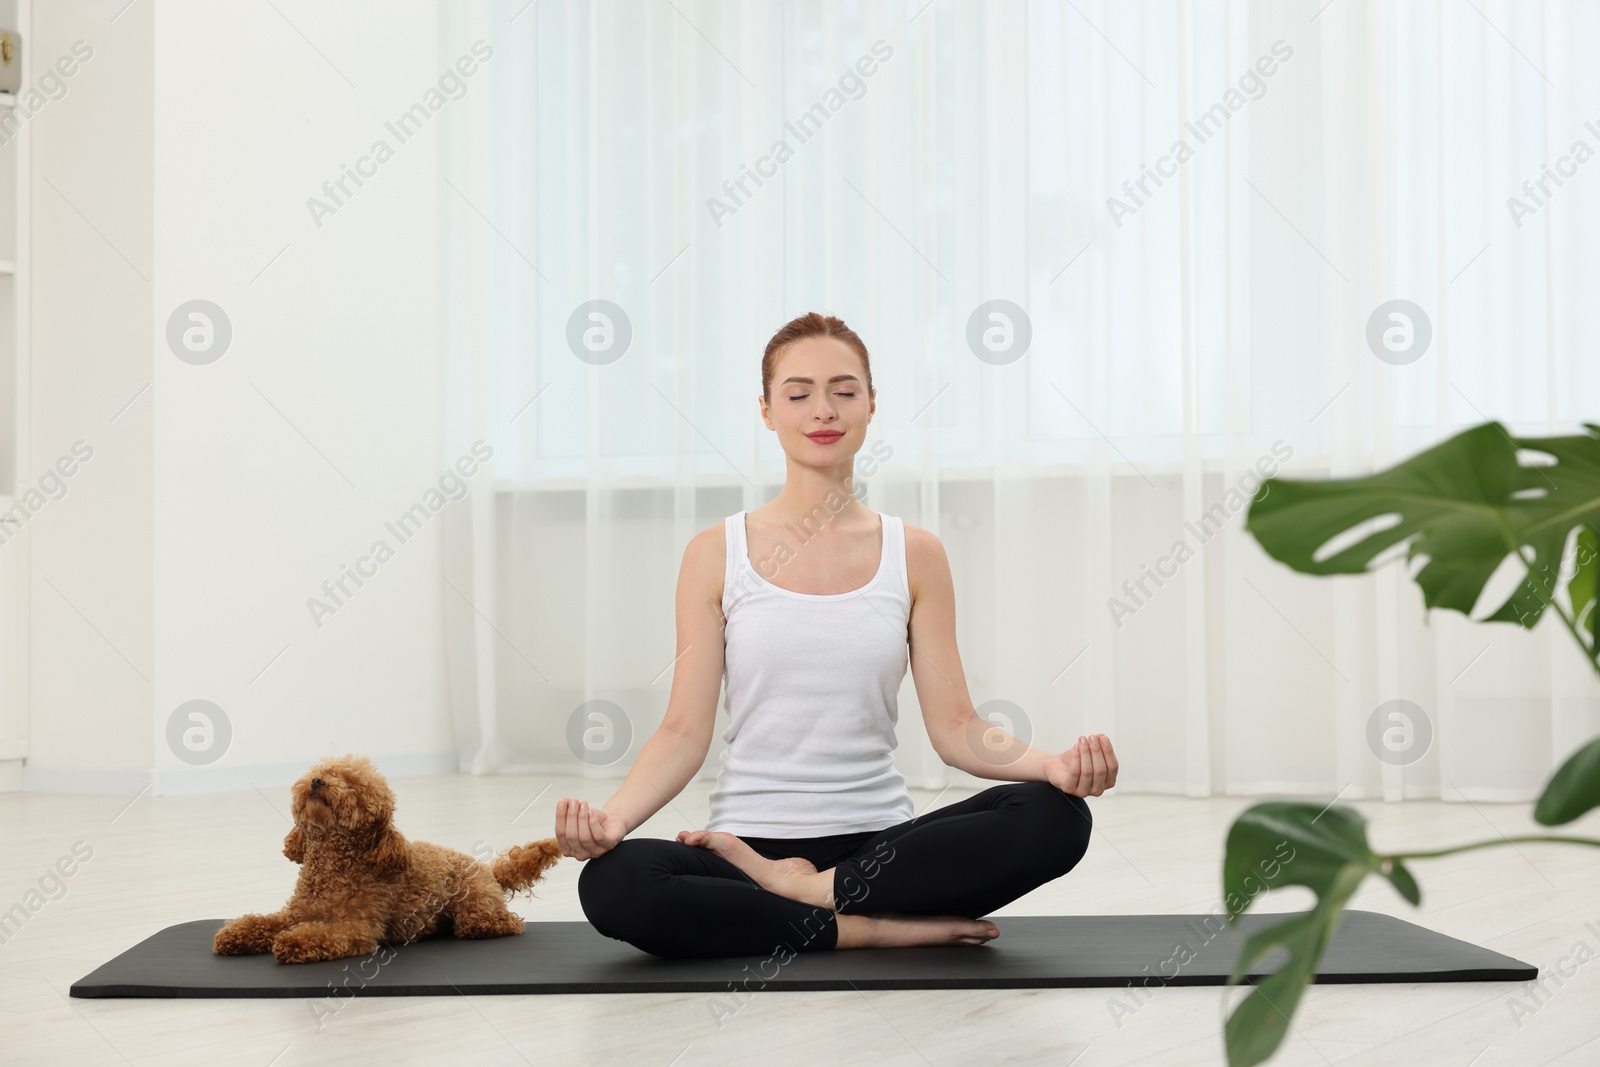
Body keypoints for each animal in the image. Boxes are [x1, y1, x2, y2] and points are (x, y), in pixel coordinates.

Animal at [212, 751, 563, 966]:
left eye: (352, 786)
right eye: (322, 772)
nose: (316, 781)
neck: (331, 867)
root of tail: (487, 869)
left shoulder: (356, 928)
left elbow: (319, 934)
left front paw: (291, 944)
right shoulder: (295, 913)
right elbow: (264, 921)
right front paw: (234, 934)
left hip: (476, 906)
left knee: (506, 923)